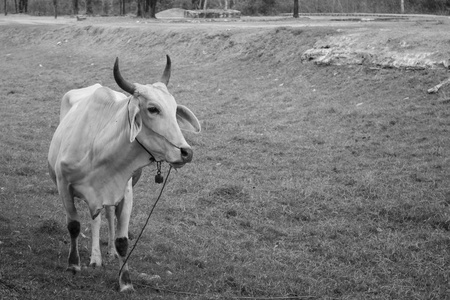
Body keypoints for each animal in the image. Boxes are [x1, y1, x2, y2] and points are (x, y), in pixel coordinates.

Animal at [47, 55, 200, 290]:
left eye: (175, 109)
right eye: (153, 109)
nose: (186, 152)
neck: (98, 149)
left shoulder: (124, 192)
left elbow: (123, 241)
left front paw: (125, 281)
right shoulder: (64, 185)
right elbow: (73, 226)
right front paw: (73, 265)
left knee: (106, 215)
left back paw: (107, 251)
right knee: (95, 218)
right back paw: (95, 258)